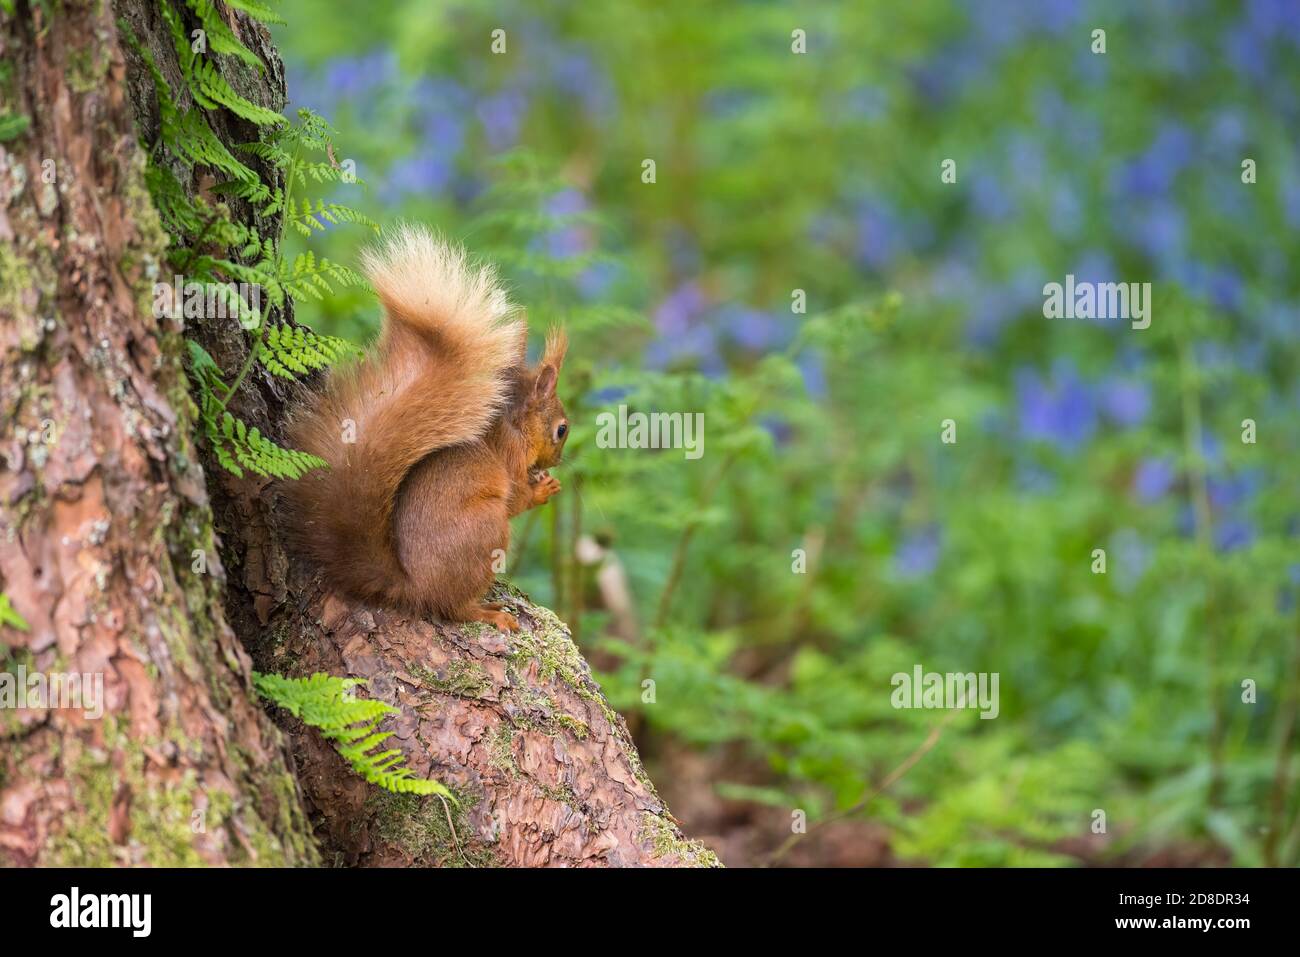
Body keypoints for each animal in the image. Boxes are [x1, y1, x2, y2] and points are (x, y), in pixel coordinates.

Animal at [283, 225, 568, 632]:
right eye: (562, 430)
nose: (556, 461)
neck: (513, 424)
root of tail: (413, 587)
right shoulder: (511, 457)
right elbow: (516, 498)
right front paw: (543, 489)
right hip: (486, 531)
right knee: (454, 608)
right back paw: (488, 613)